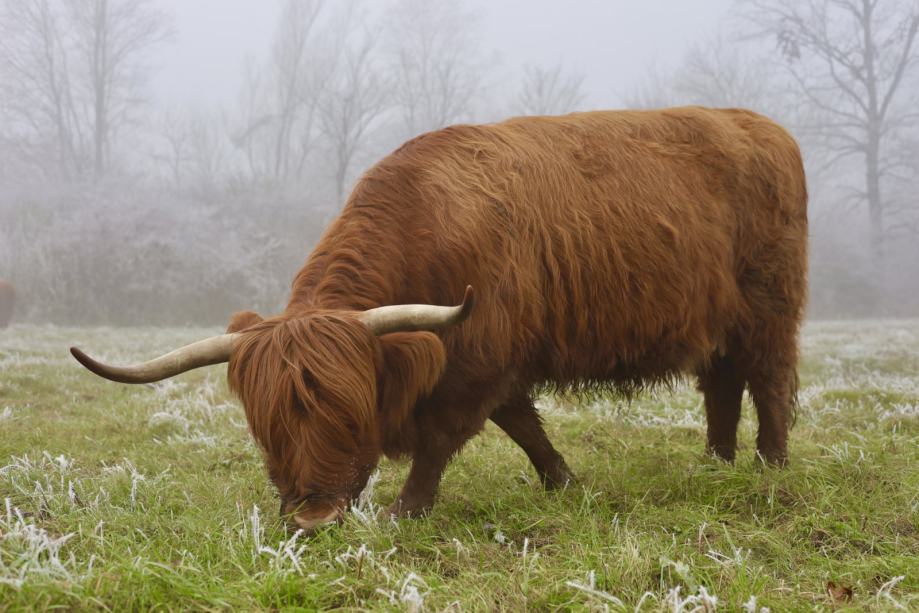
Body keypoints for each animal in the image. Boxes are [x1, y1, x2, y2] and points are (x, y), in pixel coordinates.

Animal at [72, 107, 808, 528]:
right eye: (268, 426)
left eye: (350, 413)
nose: (314, 519)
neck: (425, 230)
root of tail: (760, 123)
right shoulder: (491, 359)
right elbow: (523, 425)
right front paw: (565, 482)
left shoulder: (477, 359)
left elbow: (442, 439)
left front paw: (405, 510)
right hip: (719, 324)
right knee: (721, 386)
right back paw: (713, 465)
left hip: (769, 309)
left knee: (768, 382)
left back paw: (769, 469)